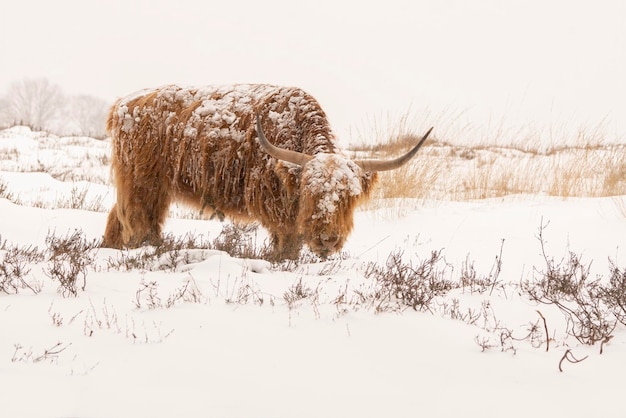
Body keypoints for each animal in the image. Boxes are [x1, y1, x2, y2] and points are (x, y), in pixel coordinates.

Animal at [103, 84, 434, 258]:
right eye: (310, 193)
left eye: (347, 198)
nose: (327, 239)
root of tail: (124, 102)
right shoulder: (276, 206)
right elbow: (287, 242)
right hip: (141, 181)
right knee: (137, 219)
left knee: (119, 216)